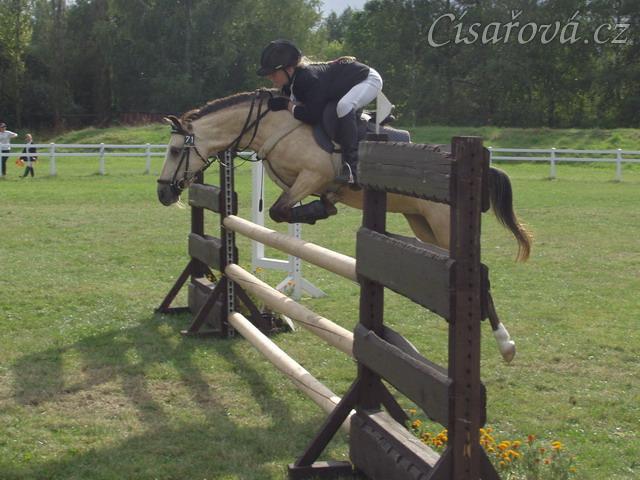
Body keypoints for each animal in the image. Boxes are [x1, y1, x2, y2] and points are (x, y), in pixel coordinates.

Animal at [157, 89, 532, 362]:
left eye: (175, 151)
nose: (163, 193)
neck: (270, 125)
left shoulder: (313, 175)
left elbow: (280, 212)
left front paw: (319, 210)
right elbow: (281, 211)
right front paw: (321, 207)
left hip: (443, 225)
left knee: (481, 274)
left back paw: (505, 344)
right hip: (422, 224)